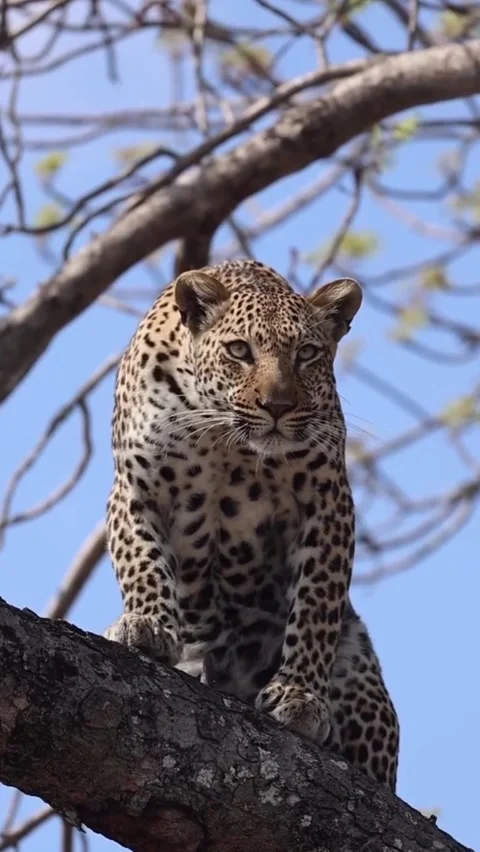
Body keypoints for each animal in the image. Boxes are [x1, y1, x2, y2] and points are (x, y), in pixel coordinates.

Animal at [105, 259, 400, 791]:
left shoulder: (326, 503)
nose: (278, 406)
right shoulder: (135, 489)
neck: (225, 439)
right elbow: (142, 561)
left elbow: (316, 606)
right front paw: (148, 625)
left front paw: (300, 695)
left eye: (306, 354)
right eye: (240, 351)